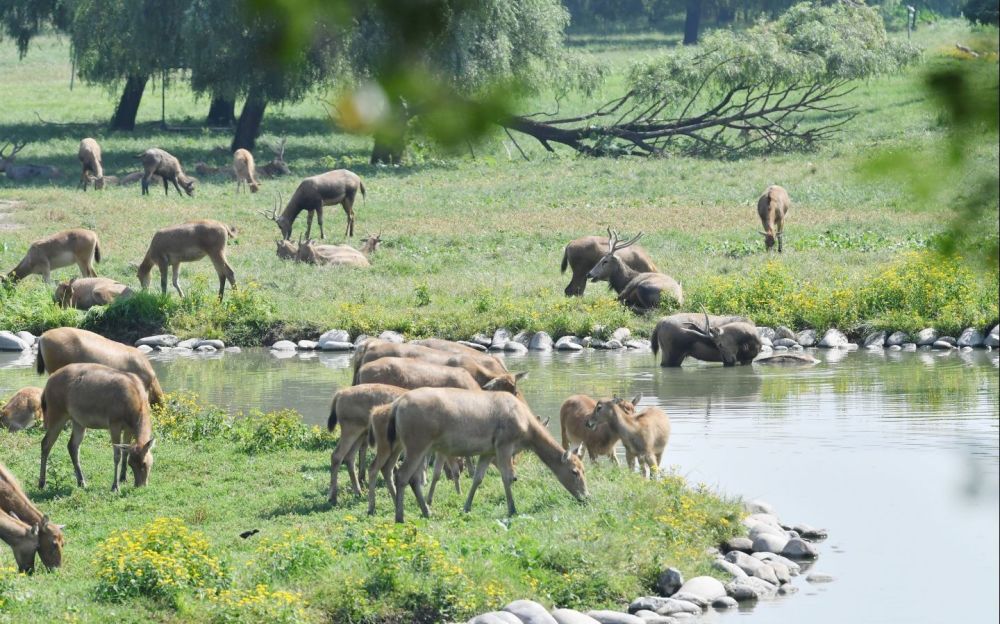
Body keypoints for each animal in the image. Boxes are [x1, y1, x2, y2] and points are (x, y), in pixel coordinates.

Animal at [384, 390, 584, 520]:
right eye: (574, 471)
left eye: (584, 470)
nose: (585, 496)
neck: (527, 432)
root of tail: (396, 406)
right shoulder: (504, 443)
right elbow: (508, 477)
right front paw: (512, 509)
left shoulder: (488, 450)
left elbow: (478, 478)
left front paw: (466, 507)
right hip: (416, 442)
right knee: (401, 474)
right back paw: (400, 517)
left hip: (419, 446)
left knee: (413, 478)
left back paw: (426, 511)